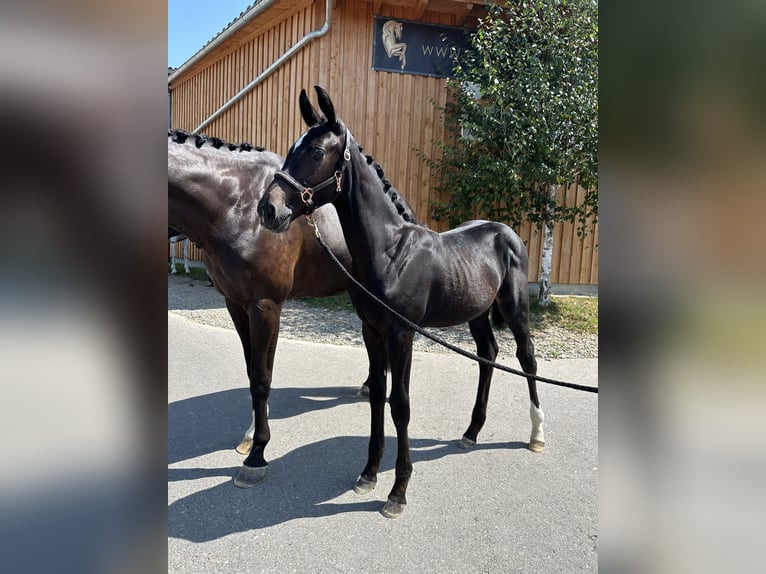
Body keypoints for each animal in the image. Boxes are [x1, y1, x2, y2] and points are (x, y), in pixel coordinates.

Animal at [168, 128, 366, 484]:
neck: (233, 206)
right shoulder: (235, 303)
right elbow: (252, 370)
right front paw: (250, 437)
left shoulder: (265, 306)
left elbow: (262, 376)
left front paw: (258, 453)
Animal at [257, 86, 544, 518]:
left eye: (317, 152)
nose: (268, 209)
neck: (390, 252)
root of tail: (505, 231)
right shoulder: (371, 331)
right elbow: (378, 393)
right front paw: (369, 473)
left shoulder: (401, 333)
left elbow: (401, 403)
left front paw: (398, 492)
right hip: (476, 313)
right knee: (489, 354)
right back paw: (471, 432)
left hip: (514, 307)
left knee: (526, 358)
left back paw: (537, 433)